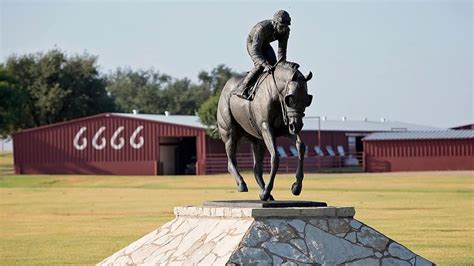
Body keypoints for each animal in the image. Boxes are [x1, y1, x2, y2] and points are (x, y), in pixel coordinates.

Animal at [217, 63, 312, 201]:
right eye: (290, 99)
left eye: (307, 100)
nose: (297, 126)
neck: (275, 94)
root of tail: (225, 88)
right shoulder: (266, 128)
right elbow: (275, 157)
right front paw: (267, 191)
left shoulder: (285, 129)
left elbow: (301, 146)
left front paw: (296, 187)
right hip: (229, 134)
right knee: (231, 162)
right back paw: (242, 184)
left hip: (258, 141)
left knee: (256, 169)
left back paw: (265, 192)